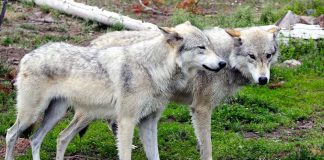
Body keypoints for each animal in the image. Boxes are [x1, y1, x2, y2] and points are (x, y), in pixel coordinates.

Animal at [4, 21, 225, 160]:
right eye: (201, 48)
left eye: (211, 46)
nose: (223, 63)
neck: (152, 70)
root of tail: (28, 55)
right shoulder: (126, 121)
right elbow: (126, 154)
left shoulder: (149, 122)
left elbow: (154, 155)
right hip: (32, 114)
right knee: (11, 134)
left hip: (56, 114)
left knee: (37, 139)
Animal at [87, 25, 280, 159]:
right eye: (252, 56)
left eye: (268, 55)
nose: (263, 79)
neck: (226, 58)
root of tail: (93, 42)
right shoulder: (201, 108)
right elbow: (208, 145)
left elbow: (202, 140)